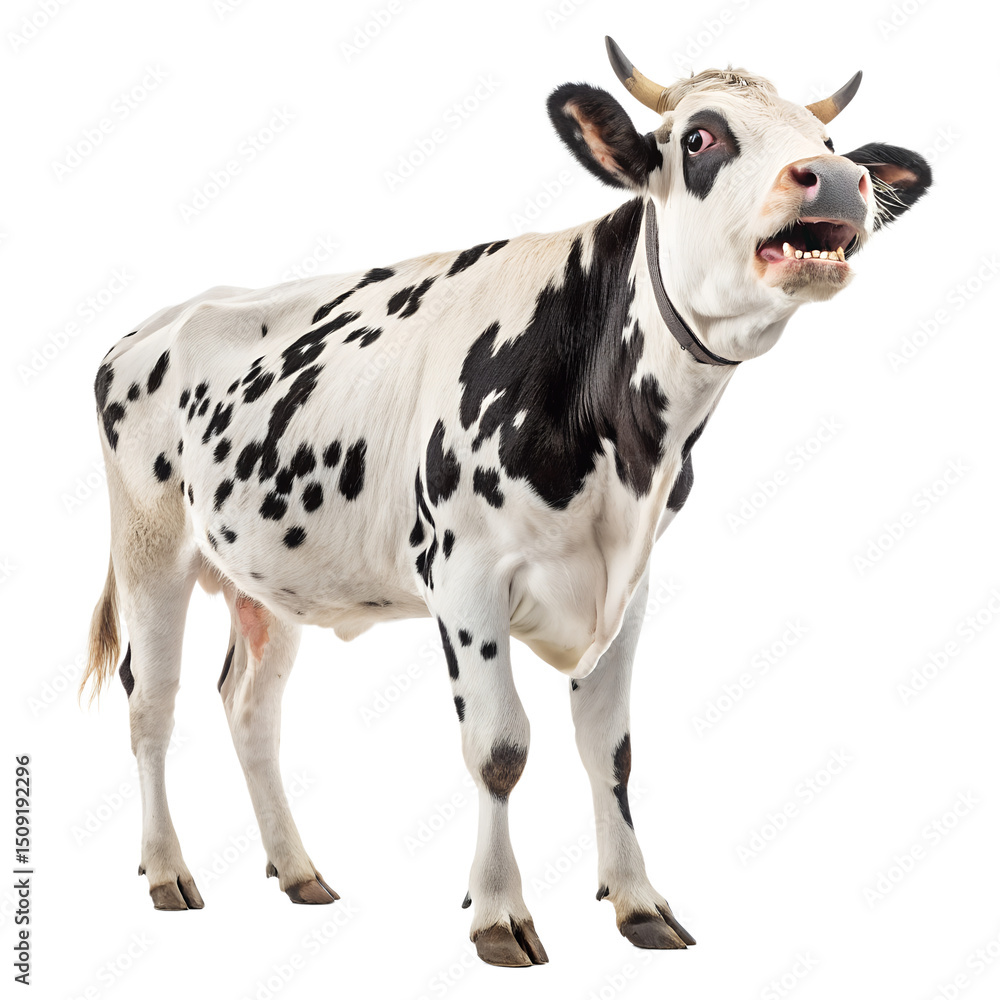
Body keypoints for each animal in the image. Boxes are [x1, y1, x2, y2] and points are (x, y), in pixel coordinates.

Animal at [80, 36, 931, 967]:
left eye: (830, 138)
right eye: (700, 137)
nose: (839, 179)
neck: (628, 453)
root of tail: (158, 321)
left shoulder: (627, 588)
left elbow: (610, 751)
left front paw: (638, 903)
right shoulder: (466, 579)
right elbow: (499, 748)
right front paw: (499, 914)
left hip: (265, 578)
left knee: (249, 707)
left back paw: (299, 871)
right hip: (150, 550)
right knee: (151, 703)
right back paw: (168, 872)